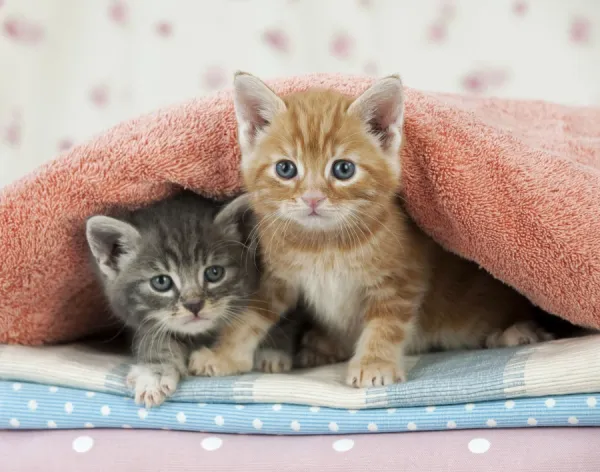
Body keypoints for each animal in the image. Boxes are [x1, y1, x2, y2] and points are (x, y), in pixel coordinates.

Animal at [84, 190, 304, 408]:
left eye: (214, 273)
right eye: (161, 282)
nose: (194, 304)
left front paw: (272, 351)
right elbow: (155, 339)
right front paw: (154, 374)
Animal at [188, 71, 552, 388]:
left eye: (343, 169)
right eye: (286, 169)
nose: (313, 198)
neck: (324, 245)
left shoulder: (402, 276)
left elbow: (386, 324)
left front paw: (374, 364)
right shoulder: (276, 276)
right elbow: (249, 317)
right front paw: (223, 357)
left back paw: (516, 332)